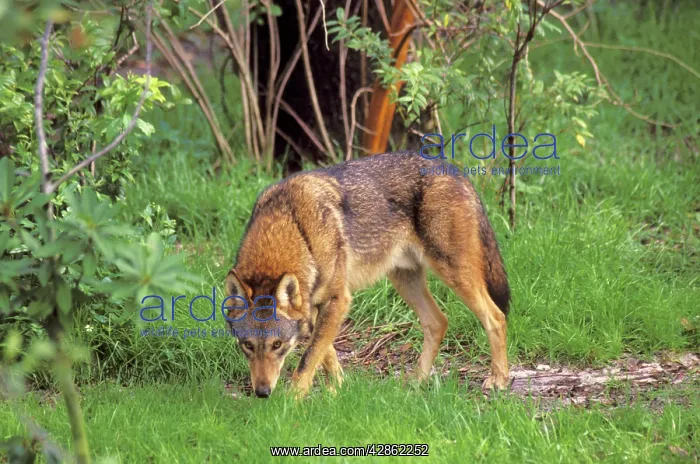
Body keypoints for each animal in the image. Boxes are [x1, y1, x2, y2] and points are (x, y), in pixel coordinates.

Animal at [224, 152, 510, 398]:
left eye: (277, 345)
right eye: (247, 345)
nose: (262, 392)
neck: (295, 228)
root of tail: (454, 170)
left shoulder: (338, 300)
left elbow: (308, 359)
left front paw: (292, 403)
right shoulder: (317, 307)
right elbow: (325, 355)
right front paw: (339, 390)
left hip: (454, 275)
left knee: (496, 317)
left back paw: (499, 379)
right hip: (405, 281)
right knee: (438, 322)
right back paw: (418, 381)